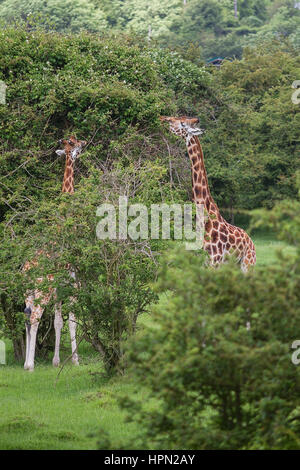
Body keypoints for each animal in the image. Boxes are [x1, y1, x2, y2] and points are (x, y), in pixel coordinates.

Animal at [23, 136, 86, 370]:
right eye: (74, 145)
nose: (84, 143)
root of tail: (26, 269)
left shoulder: (61, 285)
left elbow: (59, 321)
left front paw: (56, 361)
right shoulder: (73, 278)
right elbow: (73, 319)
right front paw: (75, 360)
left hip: (28, 291)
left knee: (27, 318)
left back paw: (27, 362)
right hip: (43, 290)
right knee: (35, 317)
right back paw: (29, 366)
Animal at [161, 116, 256, 272]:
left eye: (182, 123)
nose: (164, 119)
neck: (204, 220)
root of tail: (251, 240)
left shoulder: (214, 263)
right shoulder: (200, 263)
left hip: (248, 264)